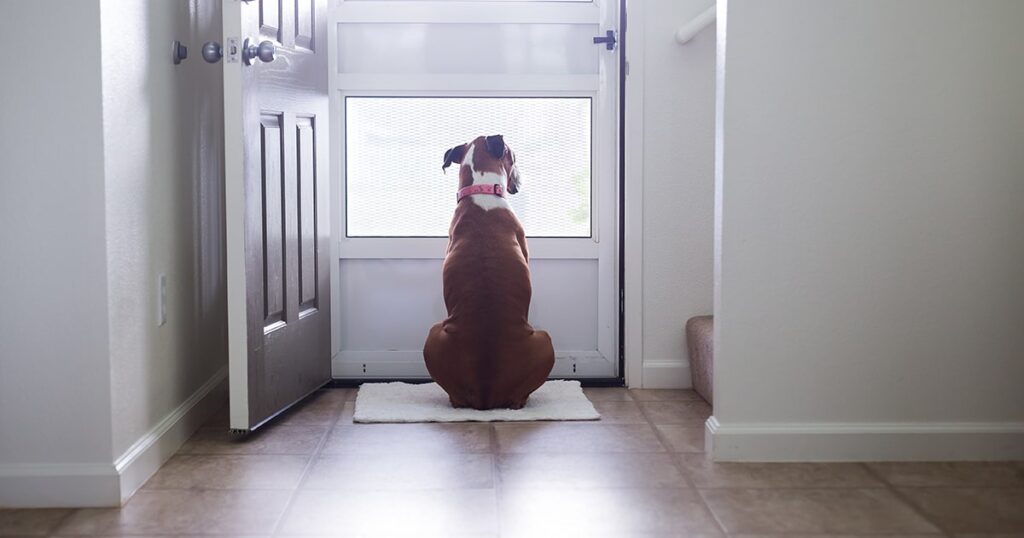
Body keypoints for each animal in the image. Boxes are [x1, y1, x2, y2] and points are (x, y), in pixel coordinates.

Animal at [421, 136, 557, 409]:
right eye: (514, 157)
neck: (481, 190)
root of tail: (486, 393)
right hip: (545, 339)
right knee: (519, 398)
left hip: (432, 337)